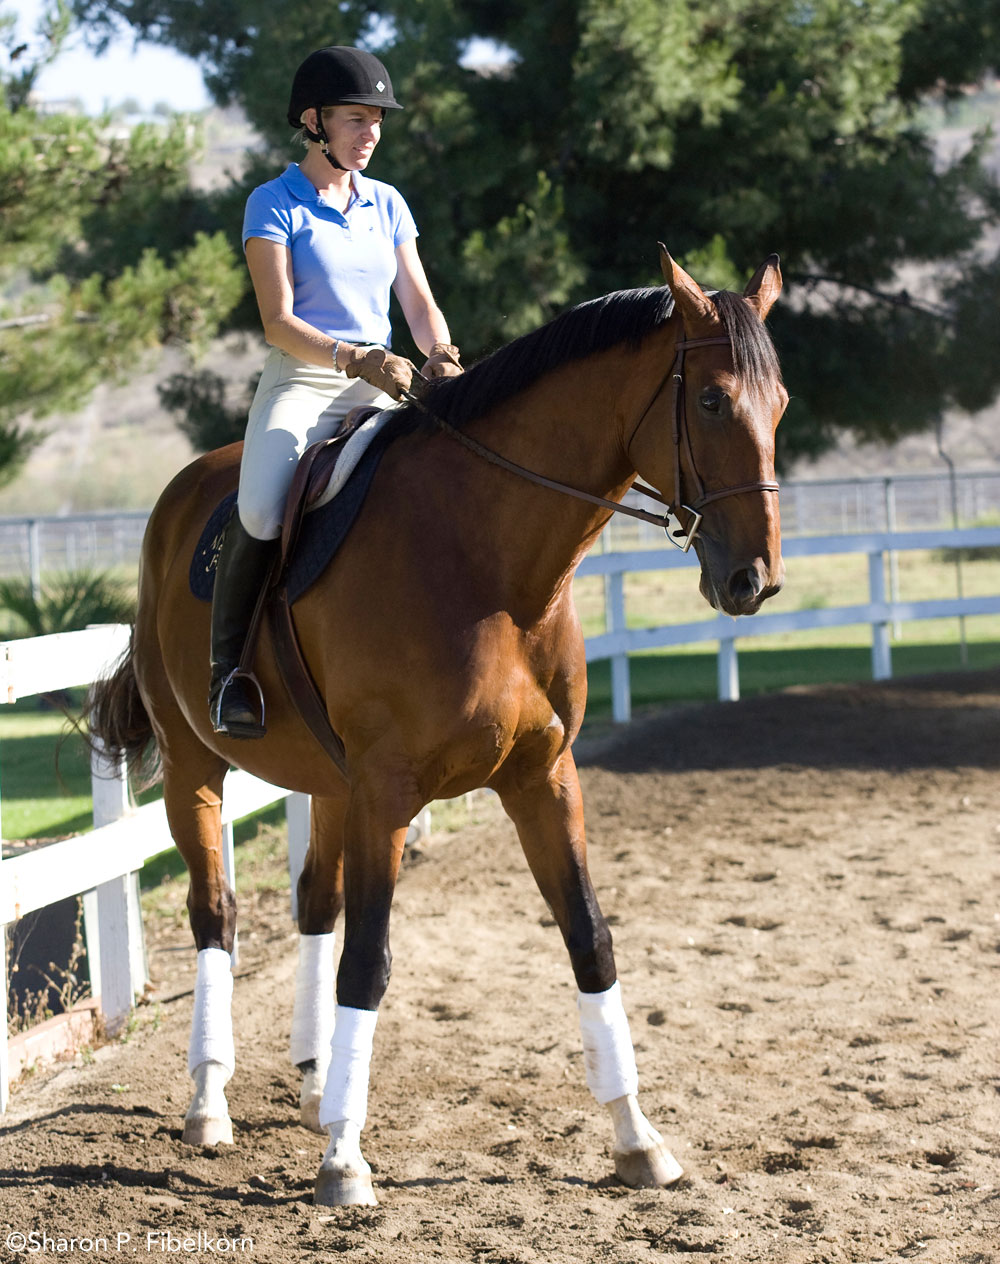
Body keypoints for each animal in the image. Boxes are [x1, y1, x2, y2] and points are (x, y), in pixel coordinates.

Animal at [87, 246, 788, 1203]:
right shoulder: (388, 792)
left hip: (328, 783)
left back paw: (316, 1085)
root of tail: (182, 493)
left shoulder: (542, 775)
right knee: (215, 914)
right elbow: (371, 960)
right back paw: (210, 1102)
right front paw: (345, 1160)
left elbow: (590, 939)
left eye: (779, 401)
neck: (485, 559)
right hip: (199, 764)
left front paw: (636, 1138)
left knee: (313, 902)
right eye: (712, 400)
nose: (755, 579)